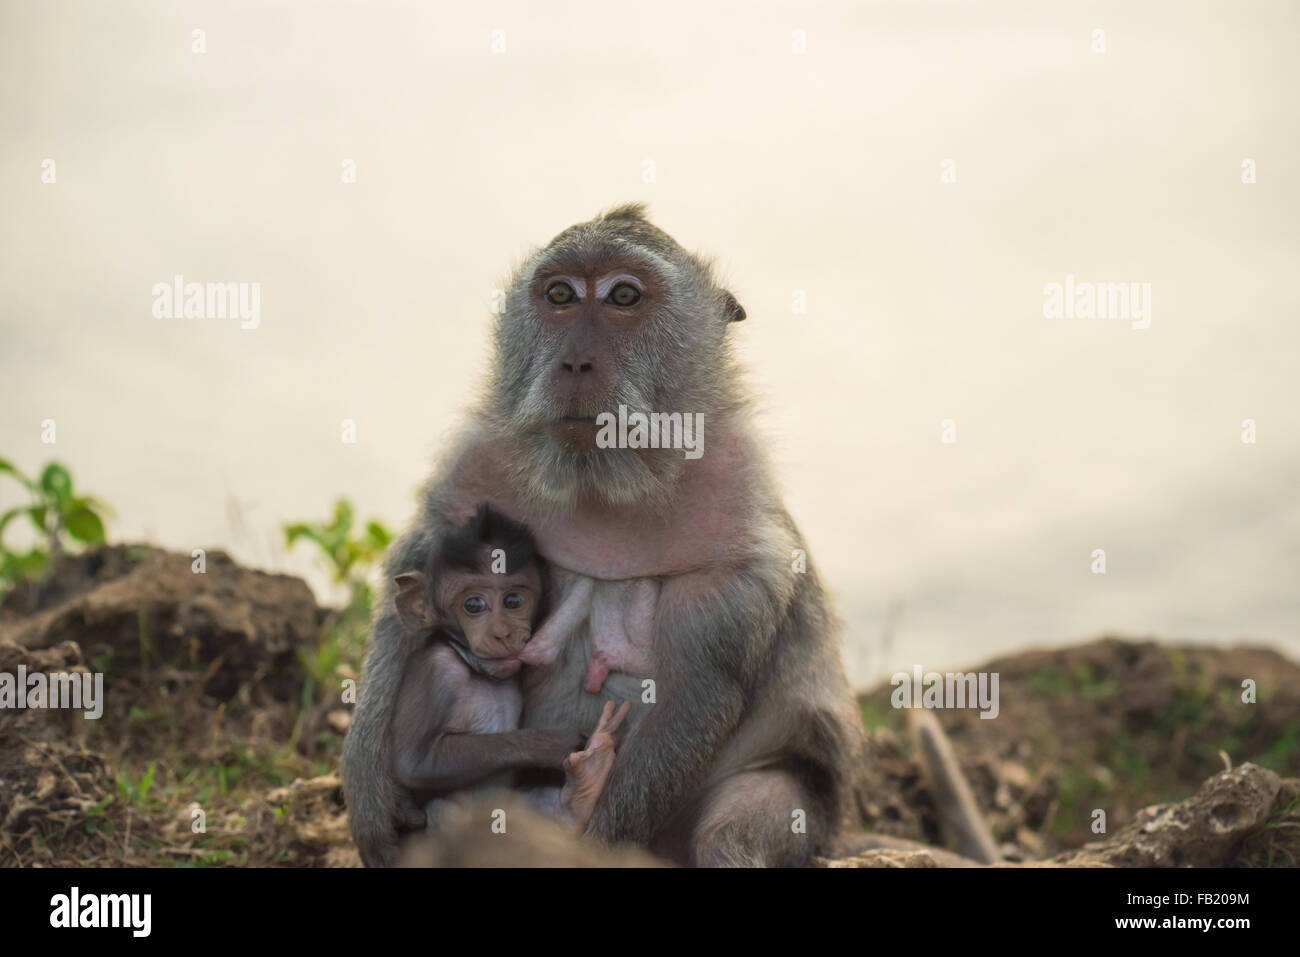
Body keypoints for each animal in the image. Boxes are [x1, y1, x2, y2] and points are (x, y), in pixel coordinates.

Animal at [388, 504, 631, 835]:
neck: (474, 668)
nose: (502, 633)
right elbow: (415, 762)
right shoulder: (434, 672)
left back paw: (583, 787)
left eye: (514, 600)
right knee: (442, 812)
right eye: (473, 605)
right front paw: (549, 744)